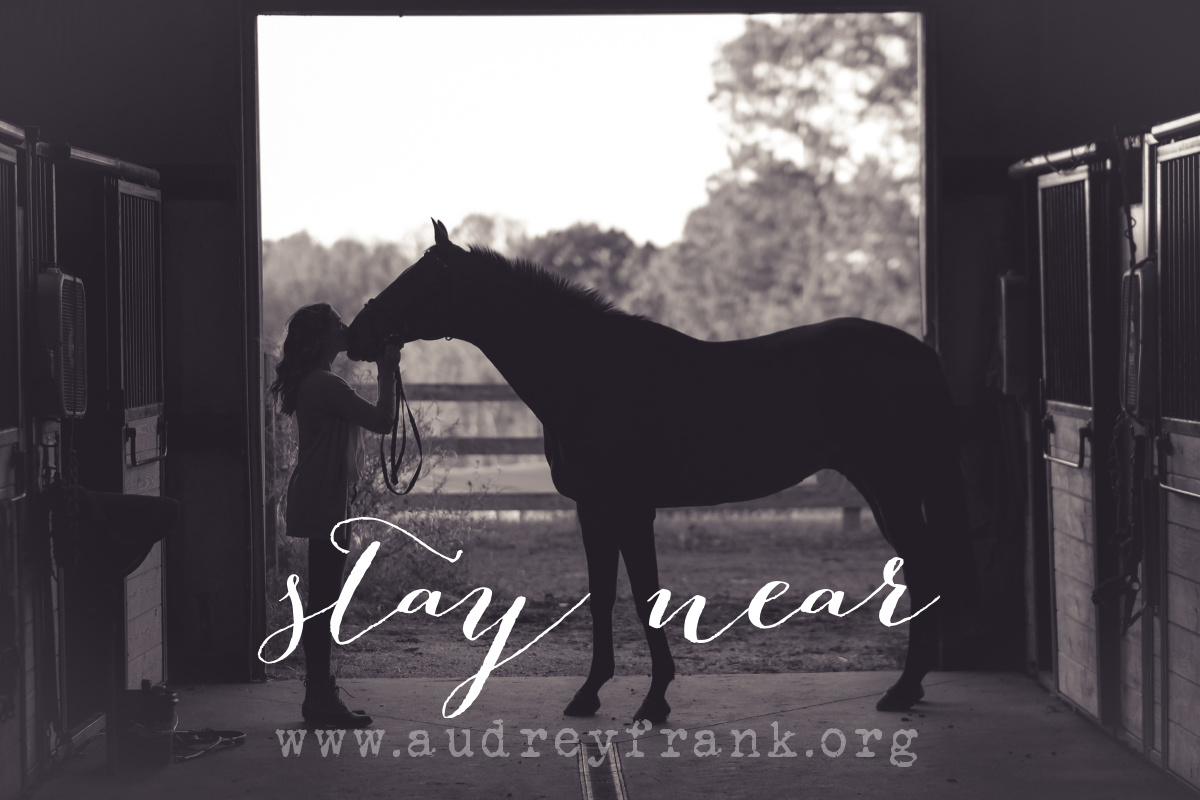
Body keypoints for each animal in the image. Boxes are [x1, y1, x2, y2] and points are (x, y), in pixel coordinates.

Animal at [348, 219, 974, 724]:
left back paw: (903, 690)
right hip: (882, 487)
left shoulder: (630, 508)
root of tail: (919, 352)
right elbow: (603, 597)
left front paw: (653, 702)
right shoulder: (593, 509)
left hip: (892, 486)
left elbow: (646, 596)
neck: (588, 372)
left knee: (924, 567)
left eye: (418, 281)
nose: (356, 334)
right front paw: (589, 695)